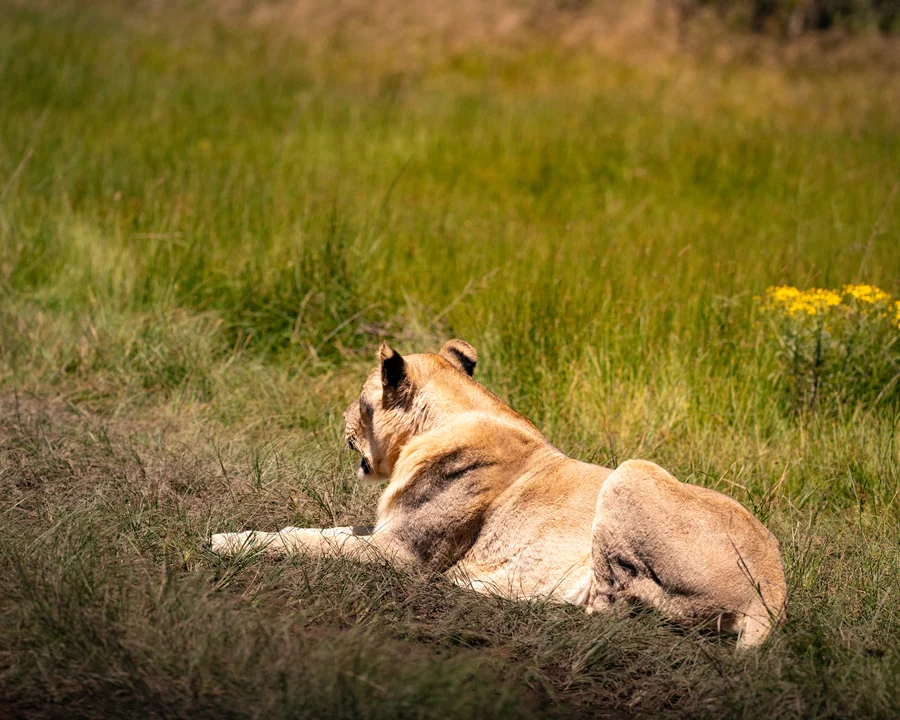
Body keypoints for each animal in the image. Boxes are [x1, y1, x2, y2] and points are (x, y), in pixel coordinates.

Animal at [210, 339, 787, 647]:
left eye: (360, 399)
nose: (340, 419)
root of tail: (775, 593)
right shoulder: (387, 532)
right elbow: (320, 531)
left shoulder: (401, 554)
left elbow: (311, 543)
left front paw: (227, 541)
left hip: (631, 472)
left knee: (606, 609)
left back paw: (478, 589)